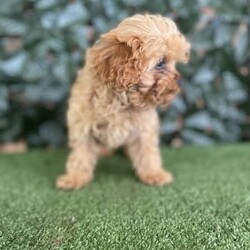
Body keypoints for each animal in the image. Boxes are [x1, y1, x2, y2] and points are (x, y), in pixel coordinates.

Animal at [56, 13, 189, 189]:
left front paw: (154, 174)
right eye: (160, 63)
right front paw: (74, 178)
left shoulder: (144, 128)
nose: (177, 83)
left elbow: (147, 152)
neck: (120, 100)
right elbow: (81, 153)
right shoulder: (82, 124)